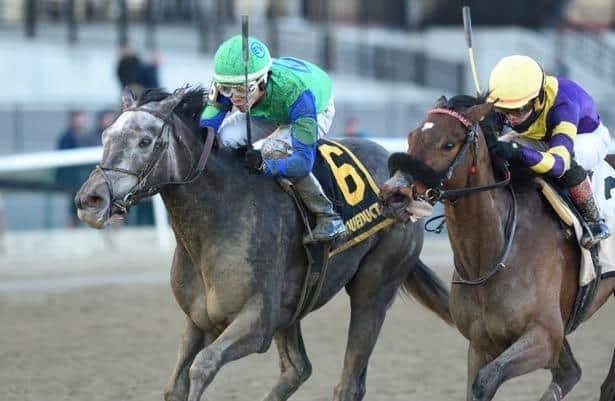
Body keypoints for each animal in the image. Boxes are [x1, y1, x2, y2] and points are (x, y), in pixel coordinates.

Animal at [76, 87, 452, 400]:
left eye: (144, 141)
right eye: (105, 135)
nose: (90, 200)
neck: (218, 217)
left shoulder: (256, 323)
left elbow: (203, 364)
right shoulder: (198, 320)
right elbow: (175, 384)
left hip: (375, 285)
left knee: (349, 382)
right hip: (294, 306)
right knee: (298, 369)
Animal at [380, 94, 615, 400]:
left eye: (448, 144)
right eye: (411, 136)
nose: (393, 194)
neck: (492, 254)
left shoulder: (545, 336)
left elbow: (486, 380)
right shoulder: (481, 344)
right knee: (570, 372)